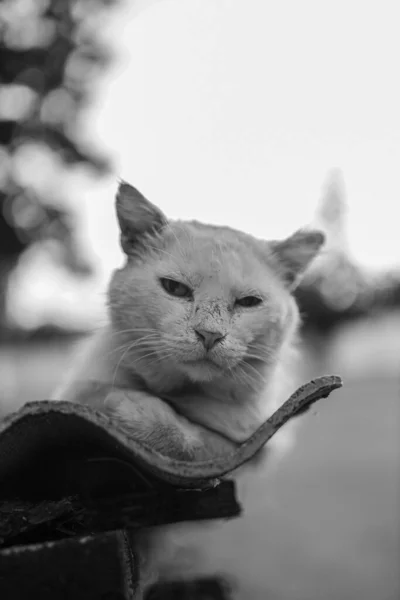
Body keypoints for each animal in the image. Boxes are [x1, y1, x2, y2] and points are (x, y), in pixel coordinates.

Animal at [54, 182, 324, 596]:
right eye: (174, 289)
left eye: (249, 302)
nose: (209, 334)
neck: (182, 391)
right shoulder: (76, 391)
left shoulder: (251, 446)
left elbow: (195, 446)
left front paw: (135, 413)